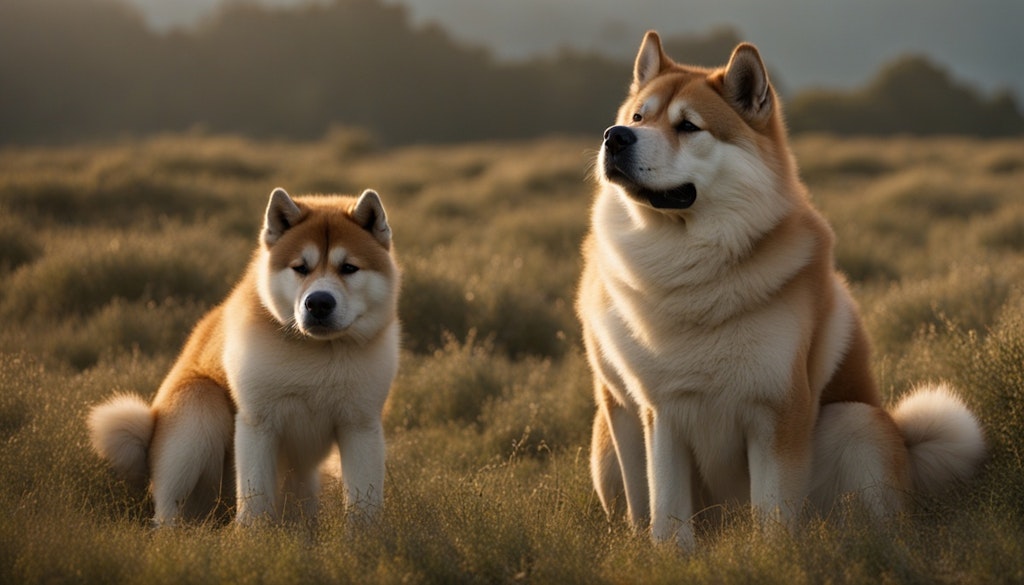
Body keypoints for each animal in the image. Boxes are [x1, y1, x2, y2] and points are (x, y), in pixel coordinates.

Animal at [89, 187, 399, 524]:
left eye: (349, 268)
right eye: (300, 267)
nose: (318, 302)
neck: (317, 353)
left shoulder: (360, 426)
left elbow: (363, 504)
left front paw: (364, 537)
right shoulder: (257, 423)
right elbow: (255, 498)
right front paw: (253, 536)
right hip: (199, 407)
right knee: (167, 509)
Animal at [577, 29, 983, 549]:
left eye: (688, 126)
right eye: (637, 118)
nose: (615, 137)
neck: (687, 268)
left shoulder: (777, 412)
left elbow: (772, 517)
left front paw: (771, 557)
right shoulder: (661, 414)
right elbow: (666, 513)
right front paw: (671, 556)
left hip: (855, 421)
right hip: (609, 442)